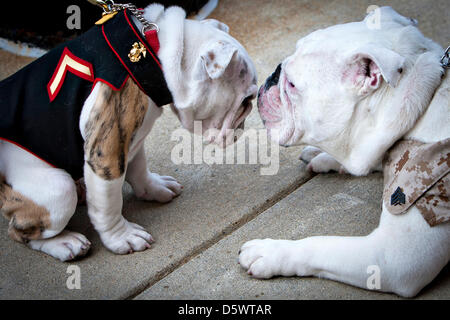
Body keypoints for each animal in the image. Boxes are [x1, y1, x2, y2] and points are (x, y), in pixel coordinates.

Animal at [0, 3, 256, 262]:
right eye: (246, 100)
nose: (242, 126)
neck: (153, 49)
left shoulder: (132, 137)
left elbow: (139, 167)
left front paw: (154, 188)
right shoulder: (107, 152)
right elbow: (108, 205)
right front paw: (121, 237)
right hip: (57, 190)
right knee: (20, 230)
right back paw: (64, 242)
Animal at [239, 6, 446, 298]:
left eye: (291, 85)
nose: (272, 76)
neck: (423, 101)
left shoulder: (393, 257)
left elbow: (320, 245)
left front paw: (271, 252)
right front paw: (325, 156)